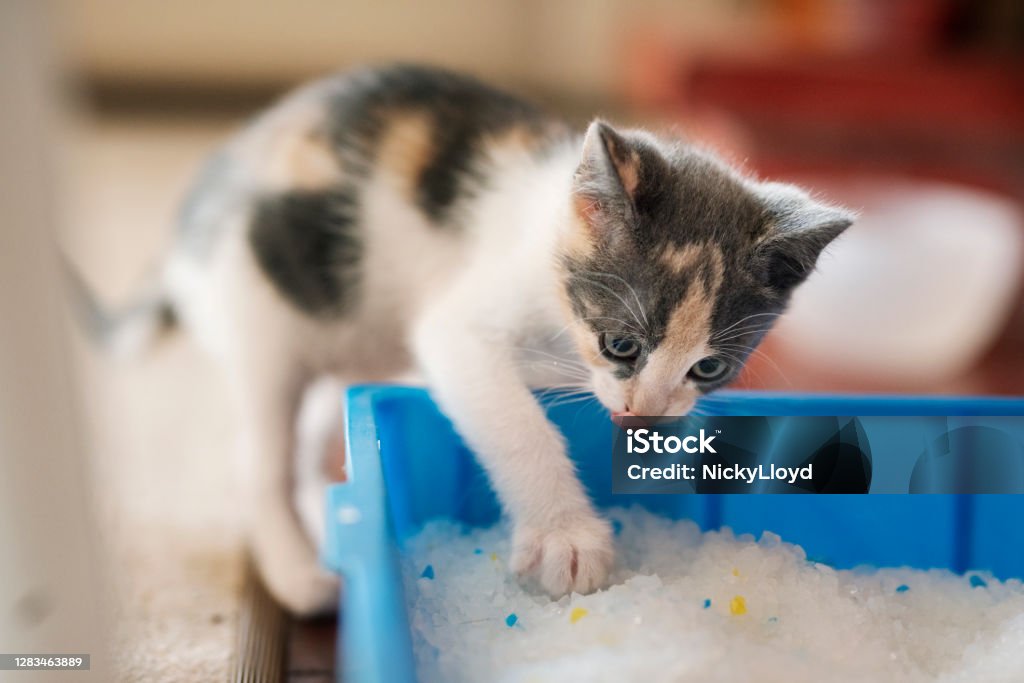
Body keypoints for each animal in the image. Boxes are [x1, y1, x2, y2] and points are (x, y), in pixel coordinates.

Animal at [75, 63, 851, 614]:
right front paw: (566, 535)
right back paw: (297, 571)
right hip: (266, 313)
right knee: (259, 454)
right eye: (621, 345)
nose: (645, 412)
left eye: (709, 367)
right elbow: (516, 421)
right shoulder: (459, 326)